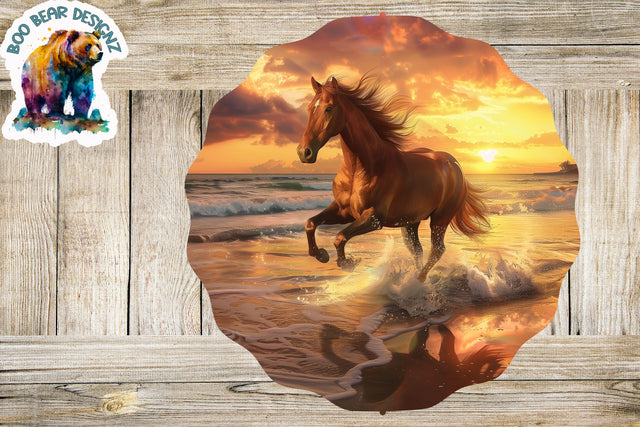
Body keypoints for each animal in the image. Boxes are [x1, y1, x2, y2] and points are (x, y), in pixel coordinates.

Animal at [297, 75, 489, 281]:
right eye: (310, 108)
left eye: (329, 108)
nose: (304, 152)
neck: (364, 167)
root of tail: (455, 165)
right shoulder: (343, 211)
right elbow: (310, 223)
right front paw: (321, 255)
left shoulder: (374, 218)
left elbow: (340, 237)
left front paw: (348, 263)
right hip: (410, 223)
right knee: (417, 250)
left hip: (440, 220)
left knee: (437, 250)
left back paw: (419, 281)